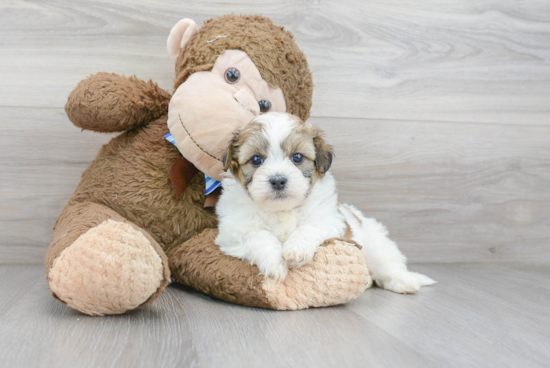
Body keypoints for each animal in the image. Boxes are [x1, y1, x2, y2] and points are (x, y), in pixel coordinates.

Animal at [216, 112, 436, 294]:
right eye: (256, 160)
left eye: (297, 157)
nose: (278, 180)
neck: (282, 210)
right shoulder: (232, 230)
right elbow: (258, 235)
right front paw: (275, 262)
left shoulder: (330, 221)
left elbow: (309, 228)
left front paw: (296, 250)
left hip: (376, 245)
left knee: (387, 265)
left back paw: (404, 281)